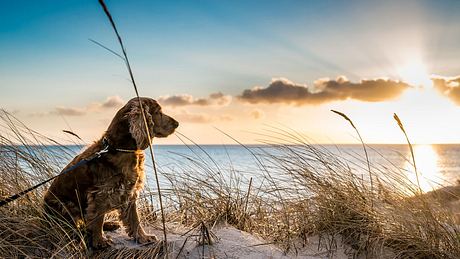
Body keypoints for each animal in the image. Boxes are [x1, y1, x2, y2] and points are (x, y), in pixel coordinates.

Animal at [43, 97, 179, 250]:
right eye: (158, 112)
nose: (177, 124)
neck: (119, 148)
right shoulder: (101, 194)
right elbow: (97, 219)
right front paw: (100, 241)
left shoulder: (130, 191)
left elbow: (135, 219)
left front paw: (143, 237)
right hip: (66, 205)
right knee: (73, 226)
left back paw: (110, 224)